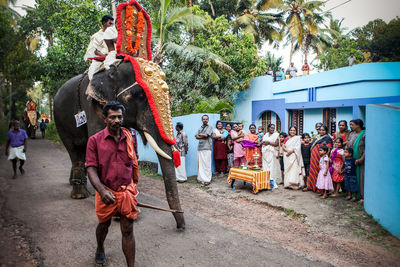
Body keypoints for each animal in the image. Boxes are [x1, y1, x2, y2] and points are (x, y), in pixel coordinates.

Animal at [53, 59, 186, 230]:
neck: (112, 68)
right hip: (60, 122)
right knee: (75, 151)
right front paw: (117, 210)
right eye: (140, 95)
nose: (181, 226)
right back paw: (80, 195)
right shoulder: (93, 106)